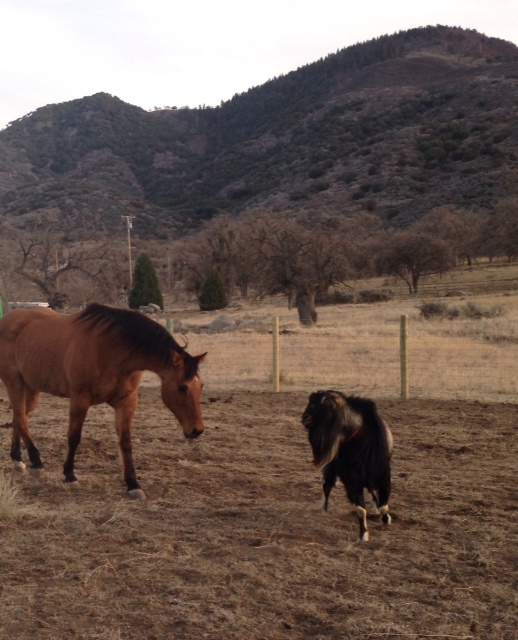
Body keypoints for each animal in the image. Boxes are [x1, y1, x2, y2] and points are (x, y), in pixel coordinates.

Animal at [0, 302, 206, 498]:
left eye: (201, 386)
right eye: (182, 387)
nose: (196, 430)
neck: (112, 349)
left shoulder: (126, 401)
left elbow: (126, 441)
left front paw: (133, 484)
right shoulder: (80, 399)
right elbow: (74, 437)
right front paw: (70, 476)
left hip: (31, 388)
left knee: (18, 418)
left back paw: (18, 459)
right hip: (14, 382)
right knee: (21, 419)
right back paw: (36, 463)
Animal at [302, 390, 396, 540]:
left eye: (322, 405)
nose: (304, 418)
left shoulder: (383, 475)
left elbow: (383, 507)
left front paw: (386, 519)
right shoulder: (352, 479)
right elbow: (360, 510)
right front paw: (363, 535)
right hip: (333, 469)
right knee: (326, 486)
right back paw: (324, 508)